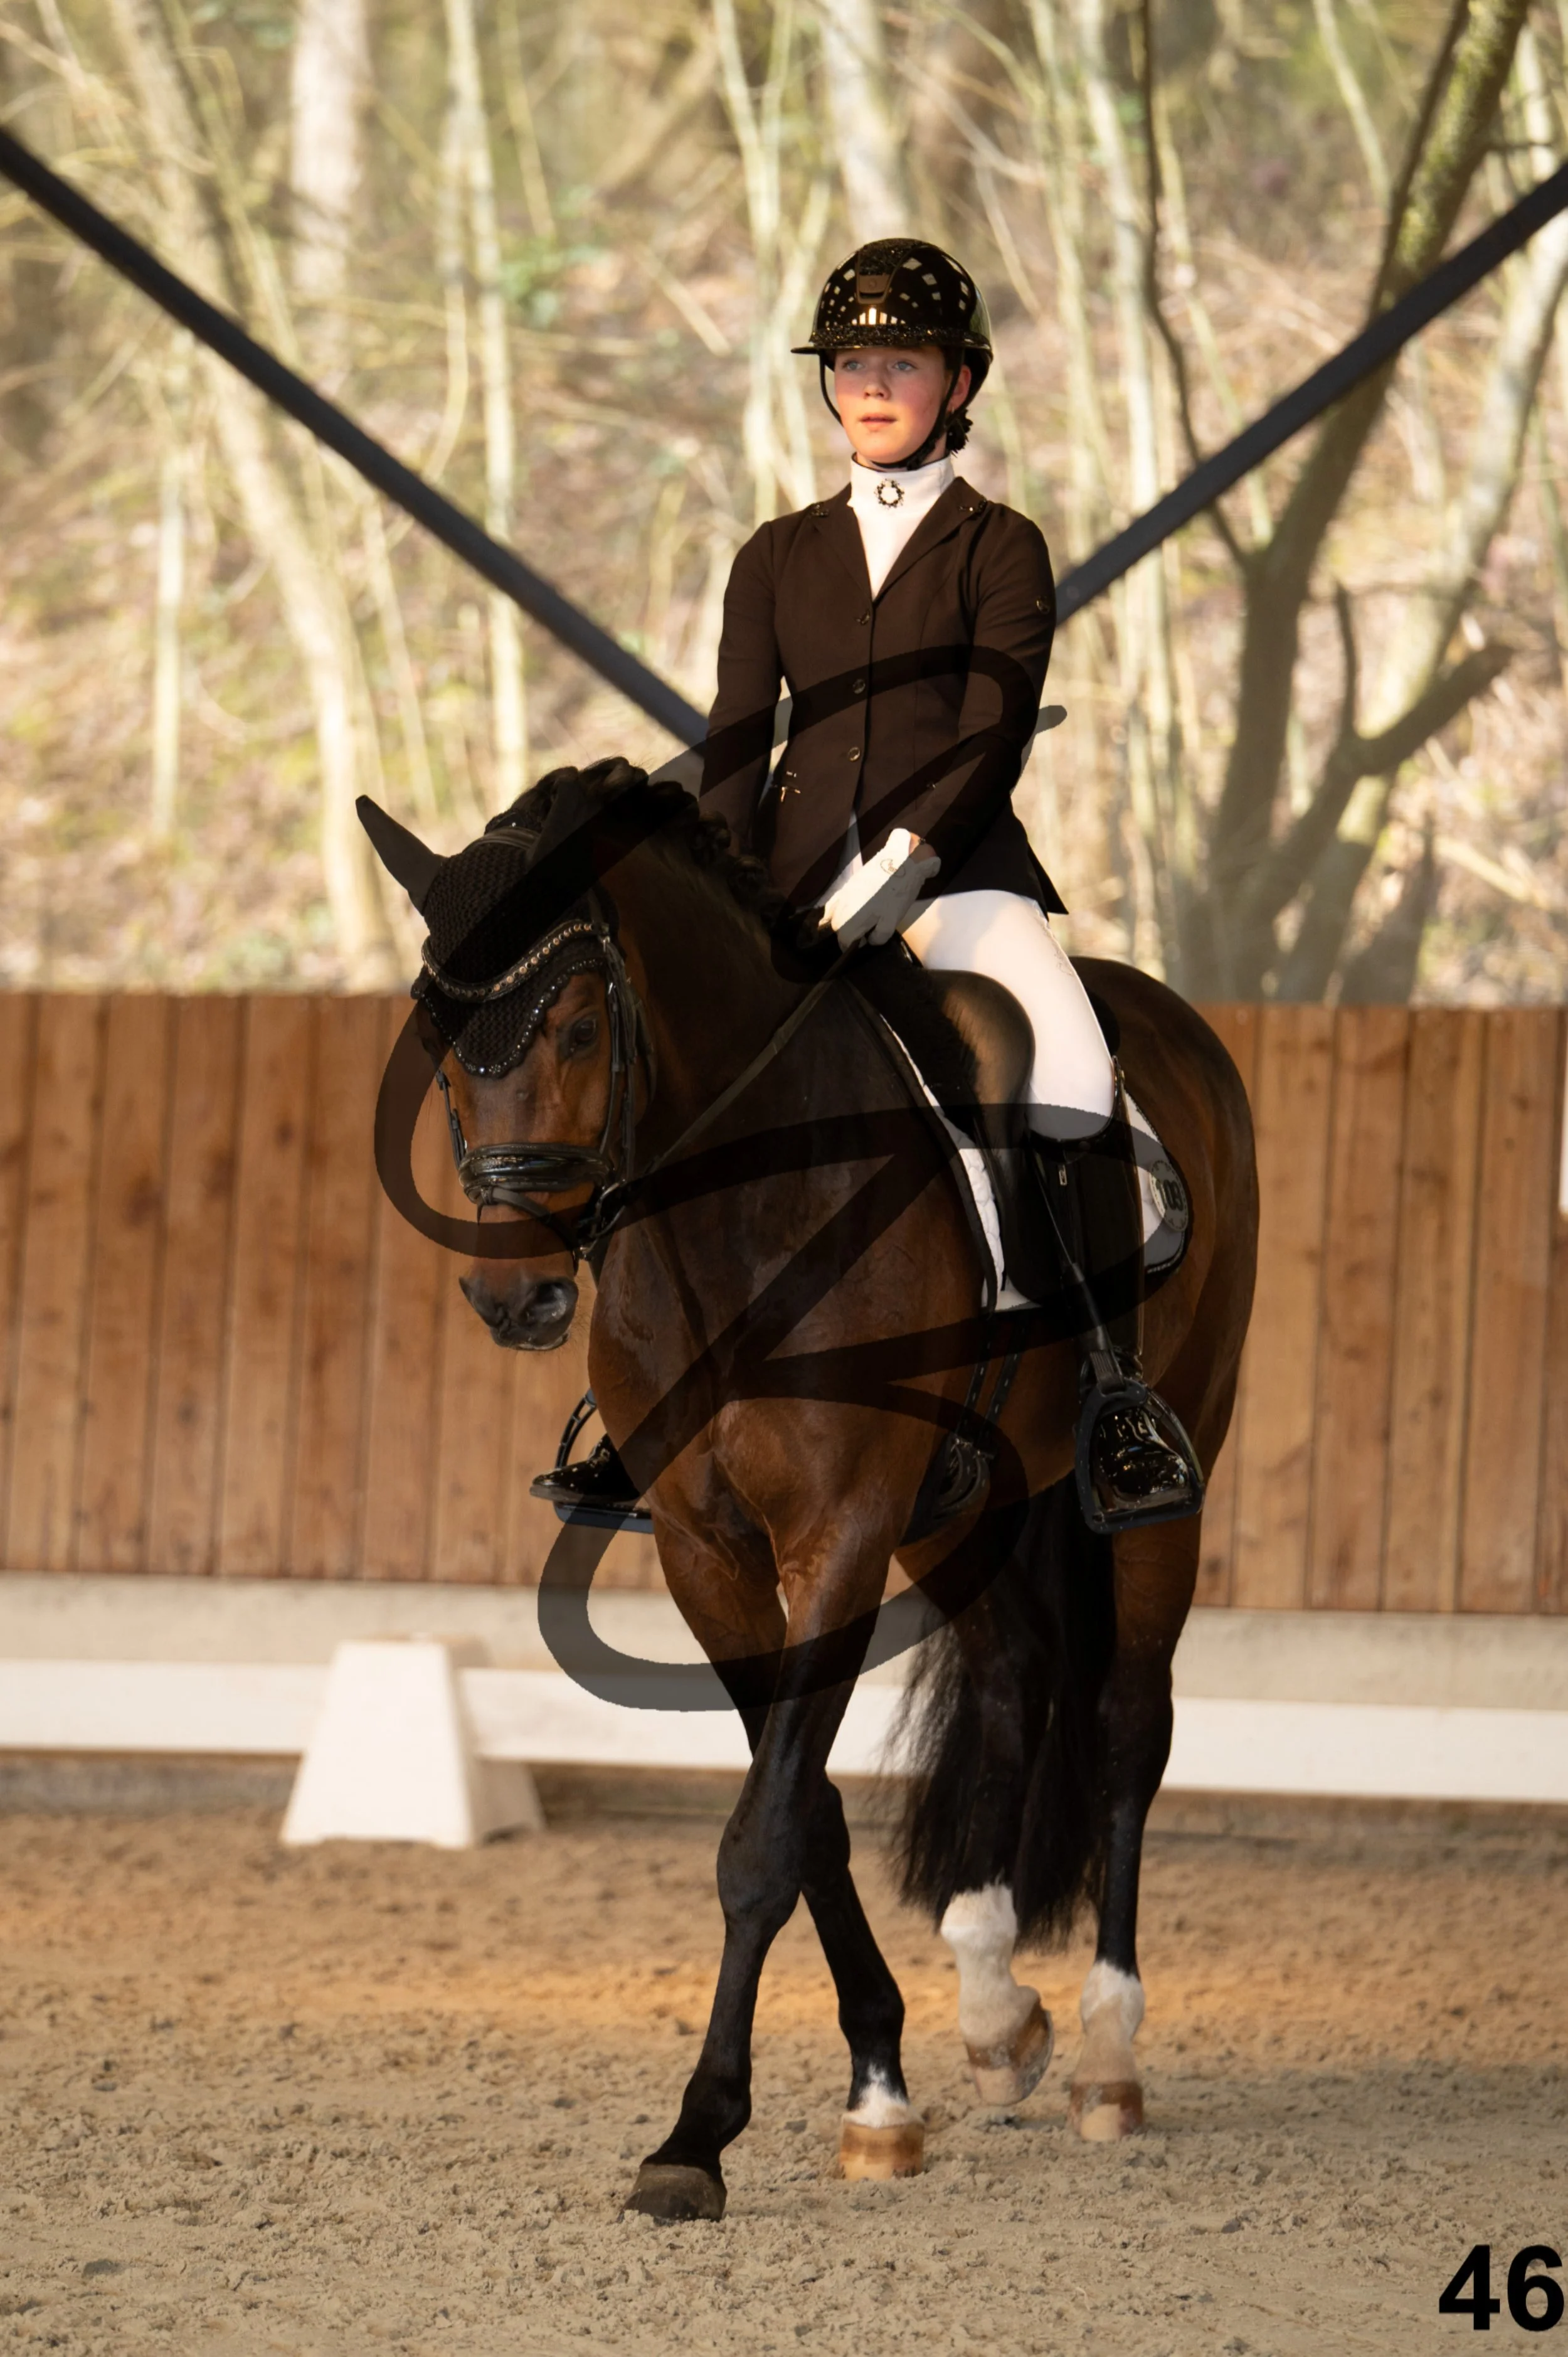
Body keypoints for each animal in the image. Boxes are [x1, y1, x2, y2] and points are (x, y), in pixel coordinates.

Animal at [361, 757, 1258, 2225]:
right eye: (442, 1044)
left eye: (574, 1028)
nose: (516, 1300)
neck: (733, 1218)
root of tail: (1173, 1019)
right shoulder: (705, 1551)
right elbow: (812, 1812)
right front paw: (881, 2090)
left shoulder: (836, 1537)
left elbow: (765, 1830)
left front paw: (695, 2135)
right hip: (964, 1507)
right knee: (1011, 1681)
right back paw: (996, 2011)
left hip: (1166, 1472)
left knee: (1128, 1721)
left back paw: (1107, 2057)